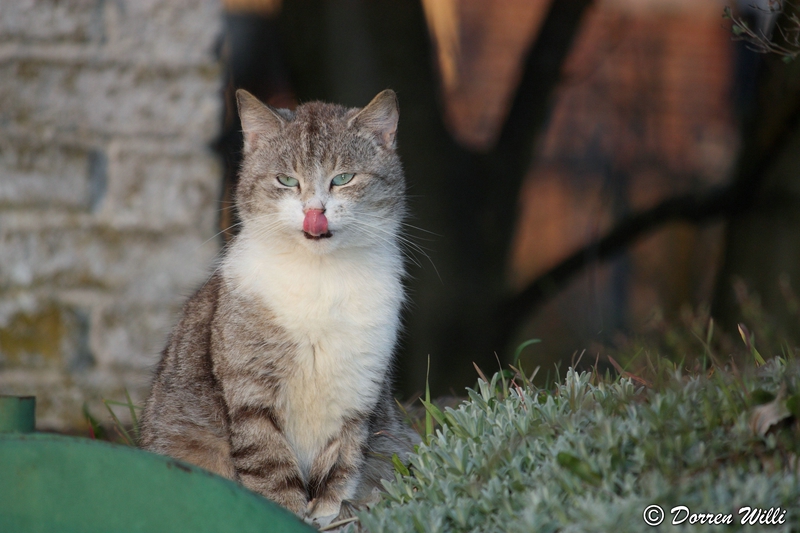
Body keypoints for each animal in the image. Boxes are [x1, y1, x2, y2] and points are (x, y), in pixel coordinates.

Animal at [138, 87, 422, 524]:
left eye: (343, 178)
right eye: (287, 180)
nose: (314, 213)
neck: (320, 277)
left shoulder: (359, 390)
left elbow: (342, 459)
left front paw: (325, 512)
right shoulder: (250, 390)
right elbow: (268, 462)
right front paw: (285, 511)